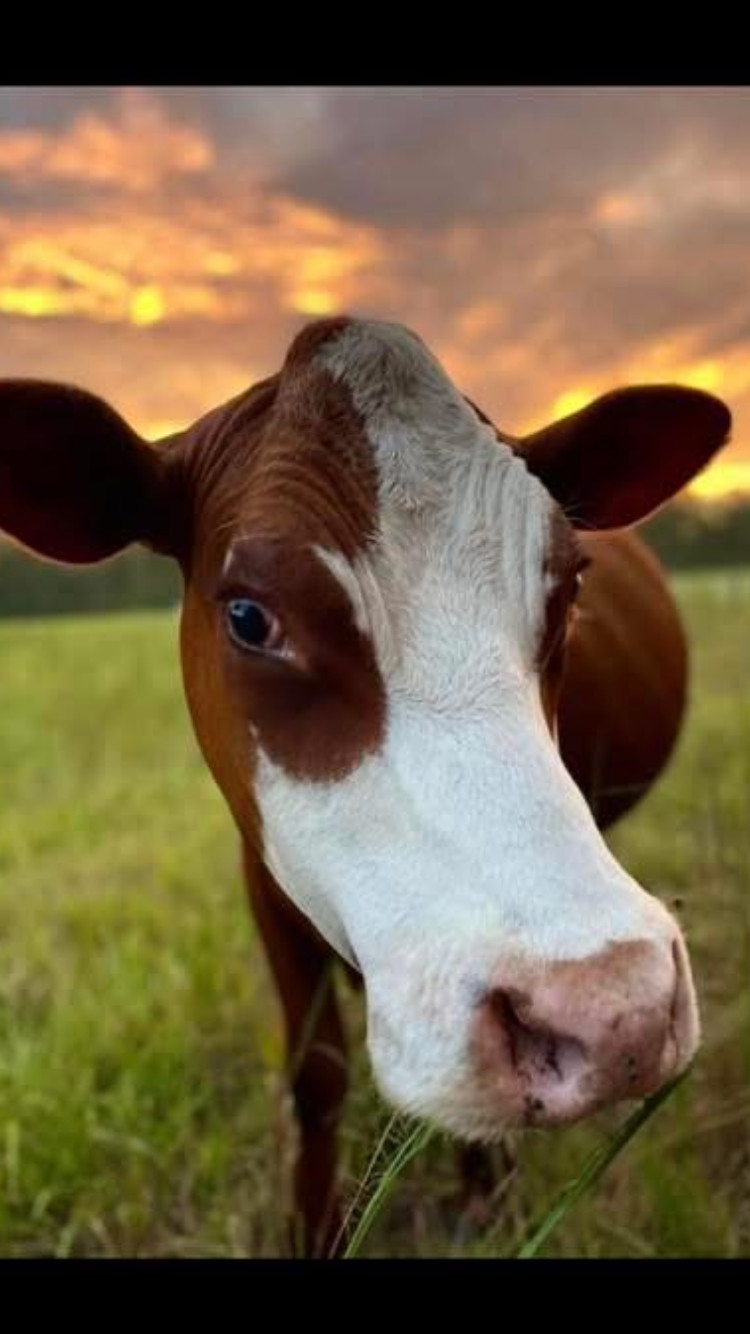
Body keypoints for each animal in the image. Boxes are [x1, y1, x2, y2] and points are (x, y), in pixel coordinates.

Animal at [0, 316, 731, 1256]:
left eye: (569, 587)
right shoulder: (261, 874)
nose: (616, 1011)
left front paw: (489, 1205)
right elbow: (315, 1074)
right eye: (248, 617)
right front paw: (310, 1230)